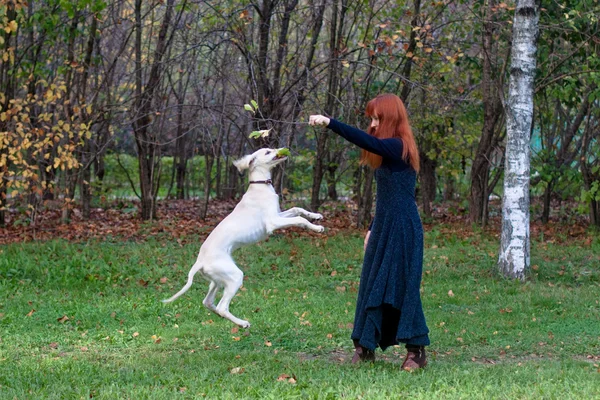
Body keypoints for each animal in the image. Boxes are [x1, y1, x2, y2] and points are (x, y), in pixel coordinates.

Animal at [162, 148, 326, 328]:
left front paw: (316, 216)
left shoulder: (278, 214)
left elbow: (298, 209)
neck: (260, 186)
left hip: (217, 280)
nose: (282, 149)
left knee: (208, 302)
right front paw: (316, 228)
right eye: (268, 151)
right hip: (234, 276)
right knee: (222, 307)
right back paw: (242, 323)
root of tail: (200, 261)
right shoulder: (272, 222)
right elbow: (299, 219)